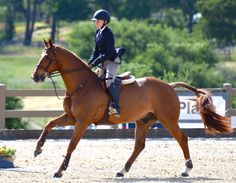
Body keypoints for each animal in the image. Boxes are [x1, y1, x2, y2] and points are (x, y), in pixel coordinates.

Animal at [31, 39, 232, 178]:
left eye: (47, 57)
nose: (35, 77)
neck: (81, 85)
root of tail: (169, 86)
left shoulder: (82, 121)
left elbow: (71, 144)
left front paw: (60, 170)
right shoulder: (71, 117)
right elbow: (49, 124)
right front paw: (38, 149)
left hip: (168, 120)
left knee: (182, 139)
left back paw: (187, 169)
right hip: (143, 121)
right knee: (139, 146)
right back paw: (122, 170)